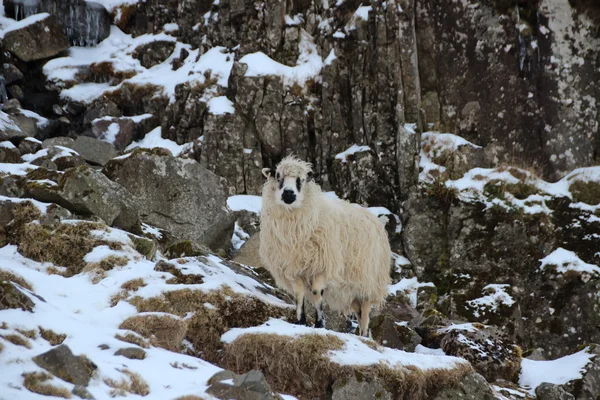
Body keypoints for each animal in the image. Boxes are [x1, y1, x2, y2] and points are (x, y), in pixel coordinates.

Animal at [258, 155, 392, 336]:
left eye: (301, 180)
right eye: (278, 176)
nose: (288, 193)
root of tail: (378, 220)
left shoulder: (323, 266)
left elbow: (316, 294)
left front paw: (320, 324)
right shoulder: (294, 267)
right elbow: (299, 295)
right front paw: (300, 321)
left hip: (368, 283)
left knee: (365, 315)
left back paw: (364, 336)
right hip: (352, 290)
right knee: (358, 311)